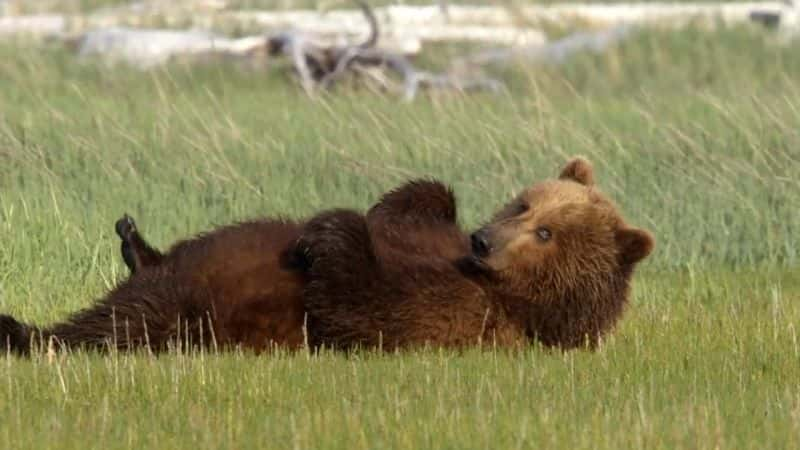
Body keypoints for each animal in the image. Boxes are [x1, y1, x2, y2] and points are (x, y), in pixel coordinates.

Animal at [296, 158, 652, 352]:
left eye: (545, 233)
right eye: (524, 205)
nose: (483, 241)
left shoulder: (474, 314)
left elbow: (365, 308)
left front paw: (331, 228)